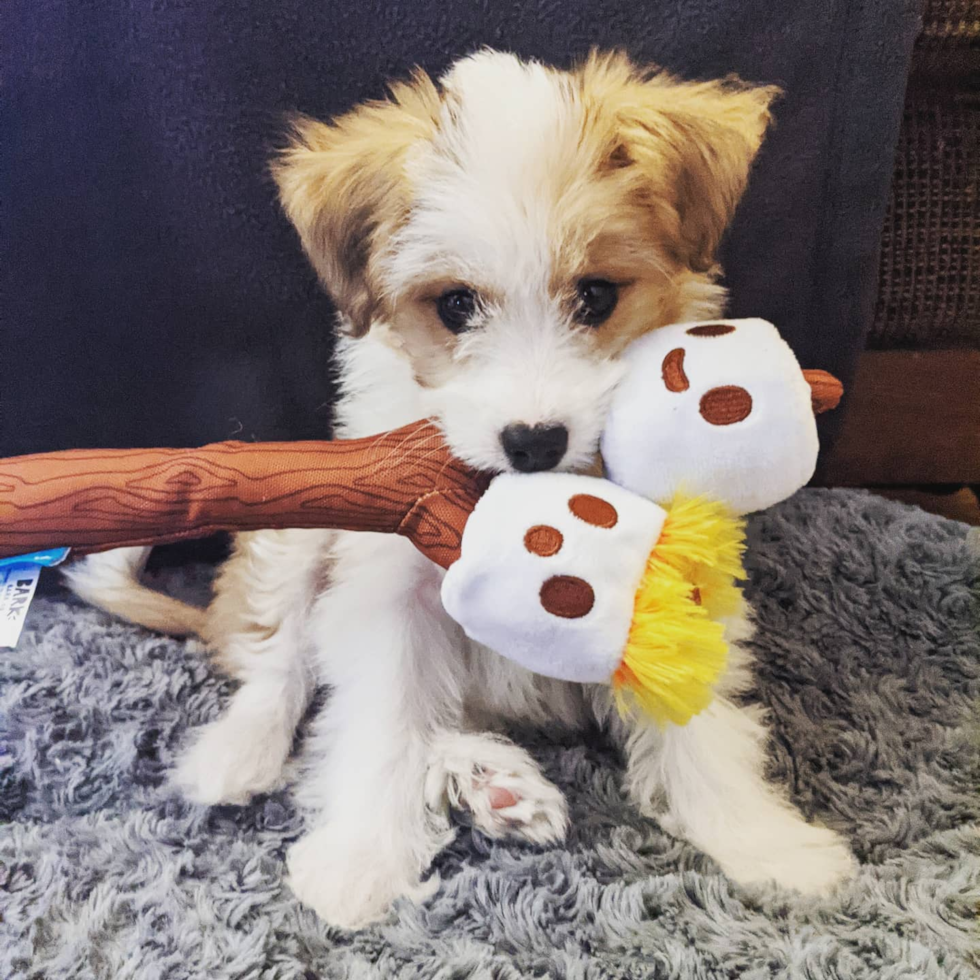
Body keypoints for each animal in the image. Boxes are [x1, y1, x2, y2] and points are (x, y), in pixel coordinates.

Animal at [67, 51, 856, 928]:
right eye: (454, 306)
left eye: (596, 295)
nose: (535, 441)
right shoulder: (388, 581)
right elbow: (379, 718)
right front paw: (361, 858)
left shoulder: (676, 576)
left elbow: (701, 721)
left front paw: (759, 839)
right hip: (298, 533)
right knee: (285, 670)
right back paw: (242, 756)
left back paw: (493, 783)